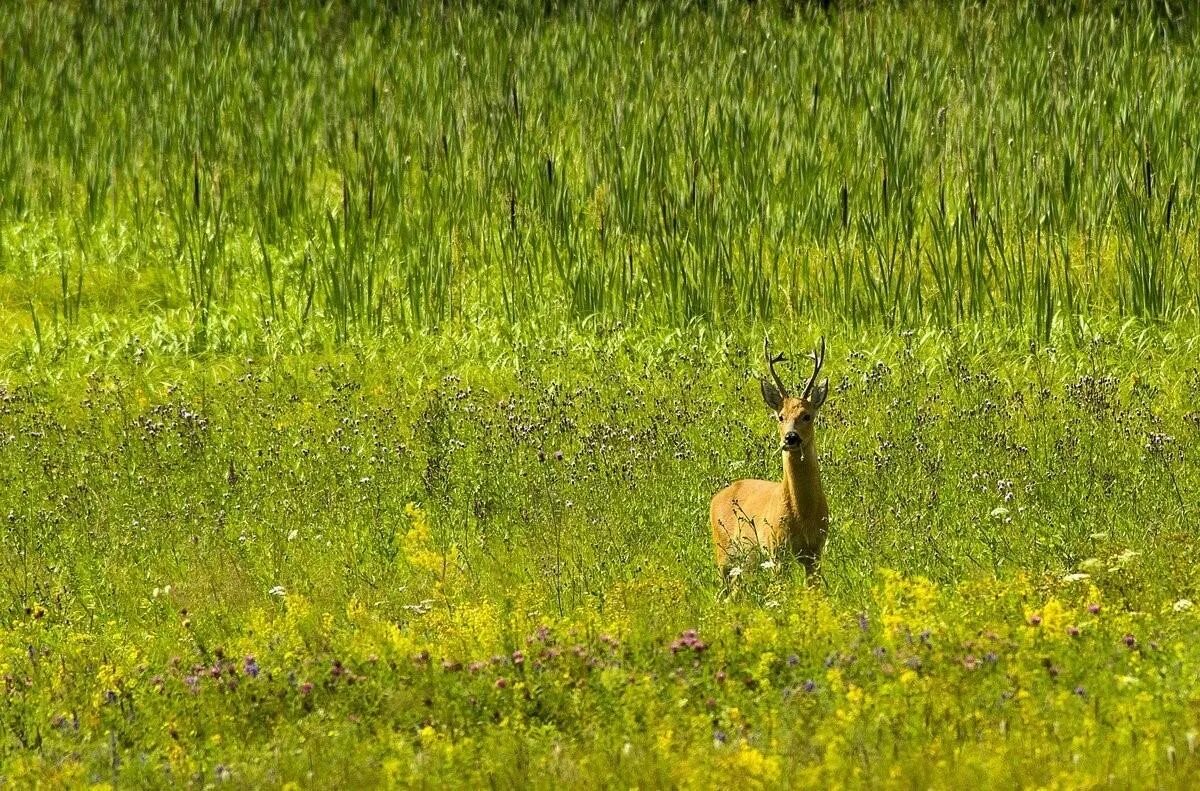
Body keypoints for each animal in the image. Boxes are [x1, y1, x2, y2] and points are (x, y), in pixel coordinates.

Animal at [705, 338, 830, 578]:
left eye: (807, 416)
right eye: (780, 417)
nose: (791, 437)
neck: (803, 514)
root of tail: (716, 497)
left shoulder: (815, 552)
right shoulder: (776, 550)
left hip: (747, 562)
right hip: (722, 553)